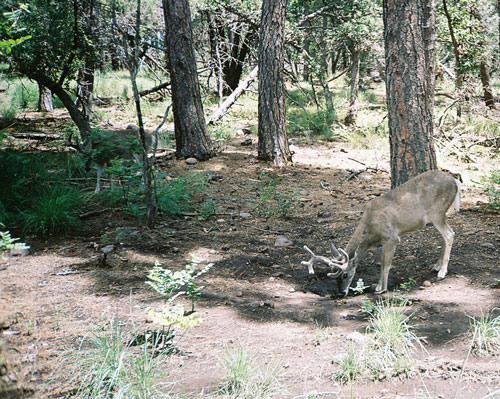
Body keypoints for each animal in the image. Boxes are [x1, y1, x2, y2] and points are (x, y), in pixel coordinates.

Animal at [300, 170, 460, 298]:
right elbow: (382, 262)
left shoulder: (392, 238)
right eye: (334, 276)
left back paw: (442, 273)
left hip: (437, 212)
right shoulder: (382, 242)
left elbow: (386, 265)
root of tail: (455, 182)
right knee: (446, 235)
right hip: (439, 215)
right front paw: (378, 286)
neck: (370, 231)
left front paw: (381, 289)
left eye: (345, 274)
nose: (340, 293)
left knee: (450, 234)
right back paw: (437, 266)